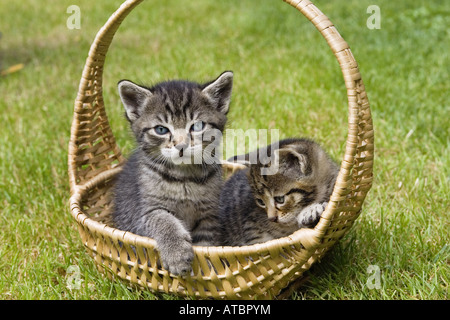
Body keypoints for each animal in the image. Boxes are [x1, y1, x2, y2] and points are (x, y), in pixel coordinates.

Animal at [112, 71, 234, 274]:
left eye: (197, 126)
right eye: (161, 129)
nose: (181, 145)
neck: (184, 177)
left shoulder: (210, 214)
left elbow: (207, 243)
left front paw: (206, 269)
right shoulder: (145, 212)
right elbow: (163, 220)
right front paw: (177, 254)